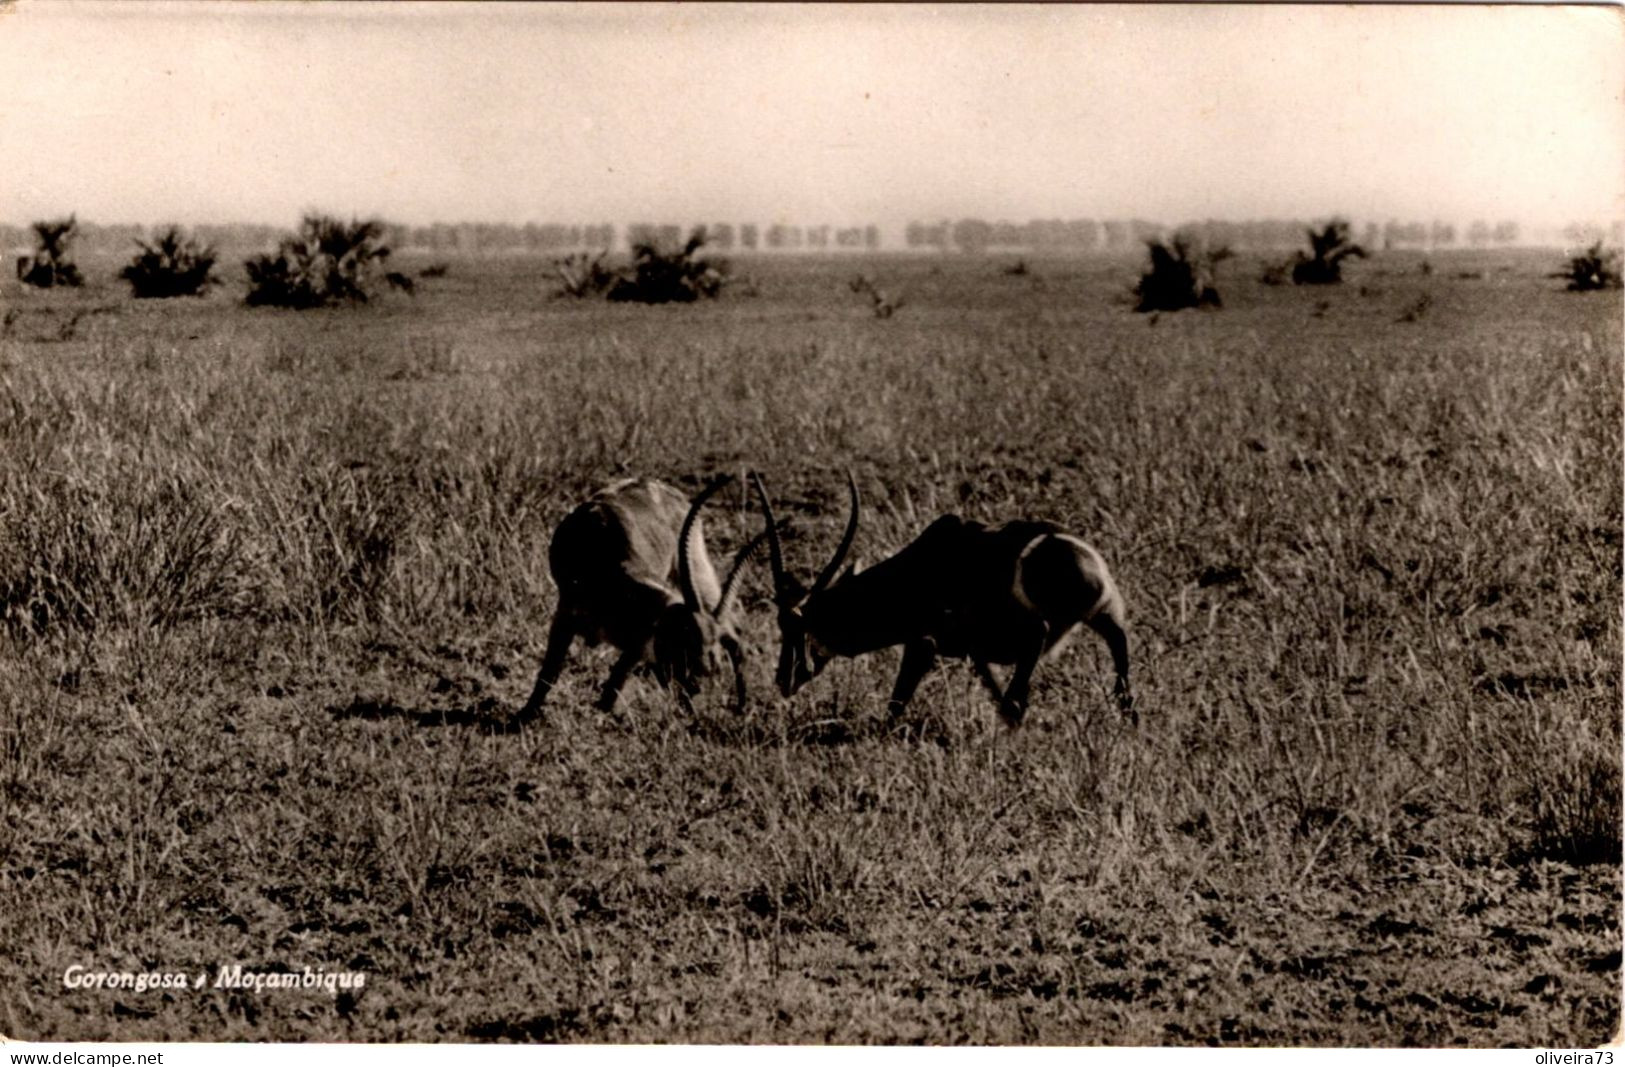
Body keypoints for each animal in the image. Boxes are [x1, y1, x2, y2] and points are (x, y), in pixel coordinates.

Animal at [520, 477, 767, 721]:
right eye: (684, 638)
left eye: (710, 647)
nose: (699, 682)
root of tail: (664, 487)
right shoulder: (565, 617)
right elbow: (549, 672)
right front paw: (525, 714)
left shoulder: (639, 640)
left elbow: (618, 675)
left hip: (698, 571)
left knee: (734, 628)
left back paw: (743, 706)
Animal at [747, 477, 1131, 734]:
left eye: (797, 628)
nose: (783, 680)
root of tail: (1086, 564)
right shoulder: (974, 652)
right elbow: (991, 685)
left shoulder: (924, 641)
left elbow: (897, 701)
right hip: (1105, 615)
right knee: (1119, 652)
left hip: (1032, 627)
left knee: (1036, 650)